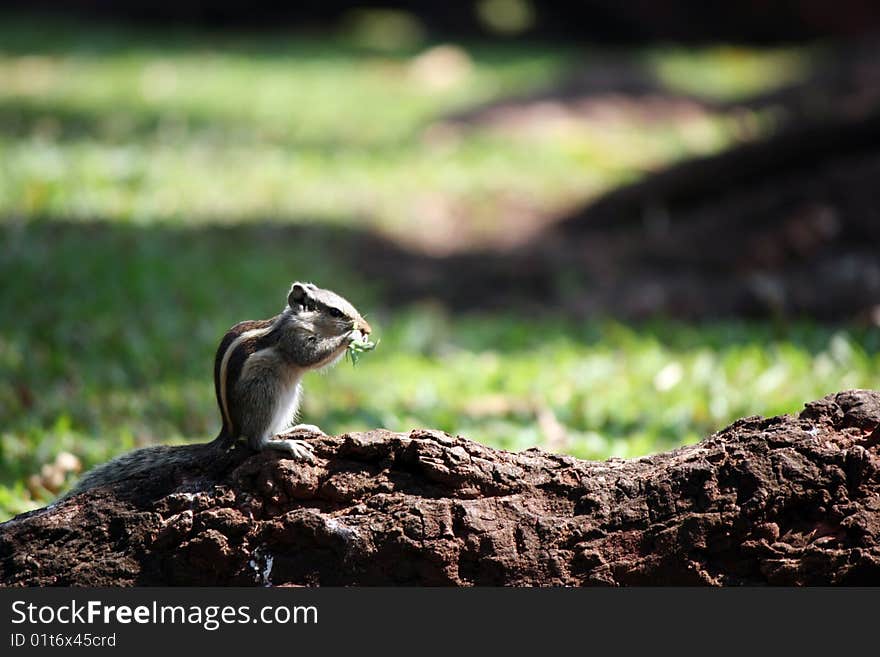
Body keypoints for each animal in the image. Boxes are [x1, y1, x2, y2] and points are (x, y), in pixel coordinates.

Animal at [65, 282, 372, 498]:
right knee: (255, 442)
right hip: (265, 391)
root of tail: (230, 428)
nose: (367, 328)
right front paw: (351, 337)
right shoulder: (293, 339)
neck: (294, 320)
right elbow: (309, 357)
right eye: (335, 312)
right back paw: (285, 444)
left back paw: (295, 430)